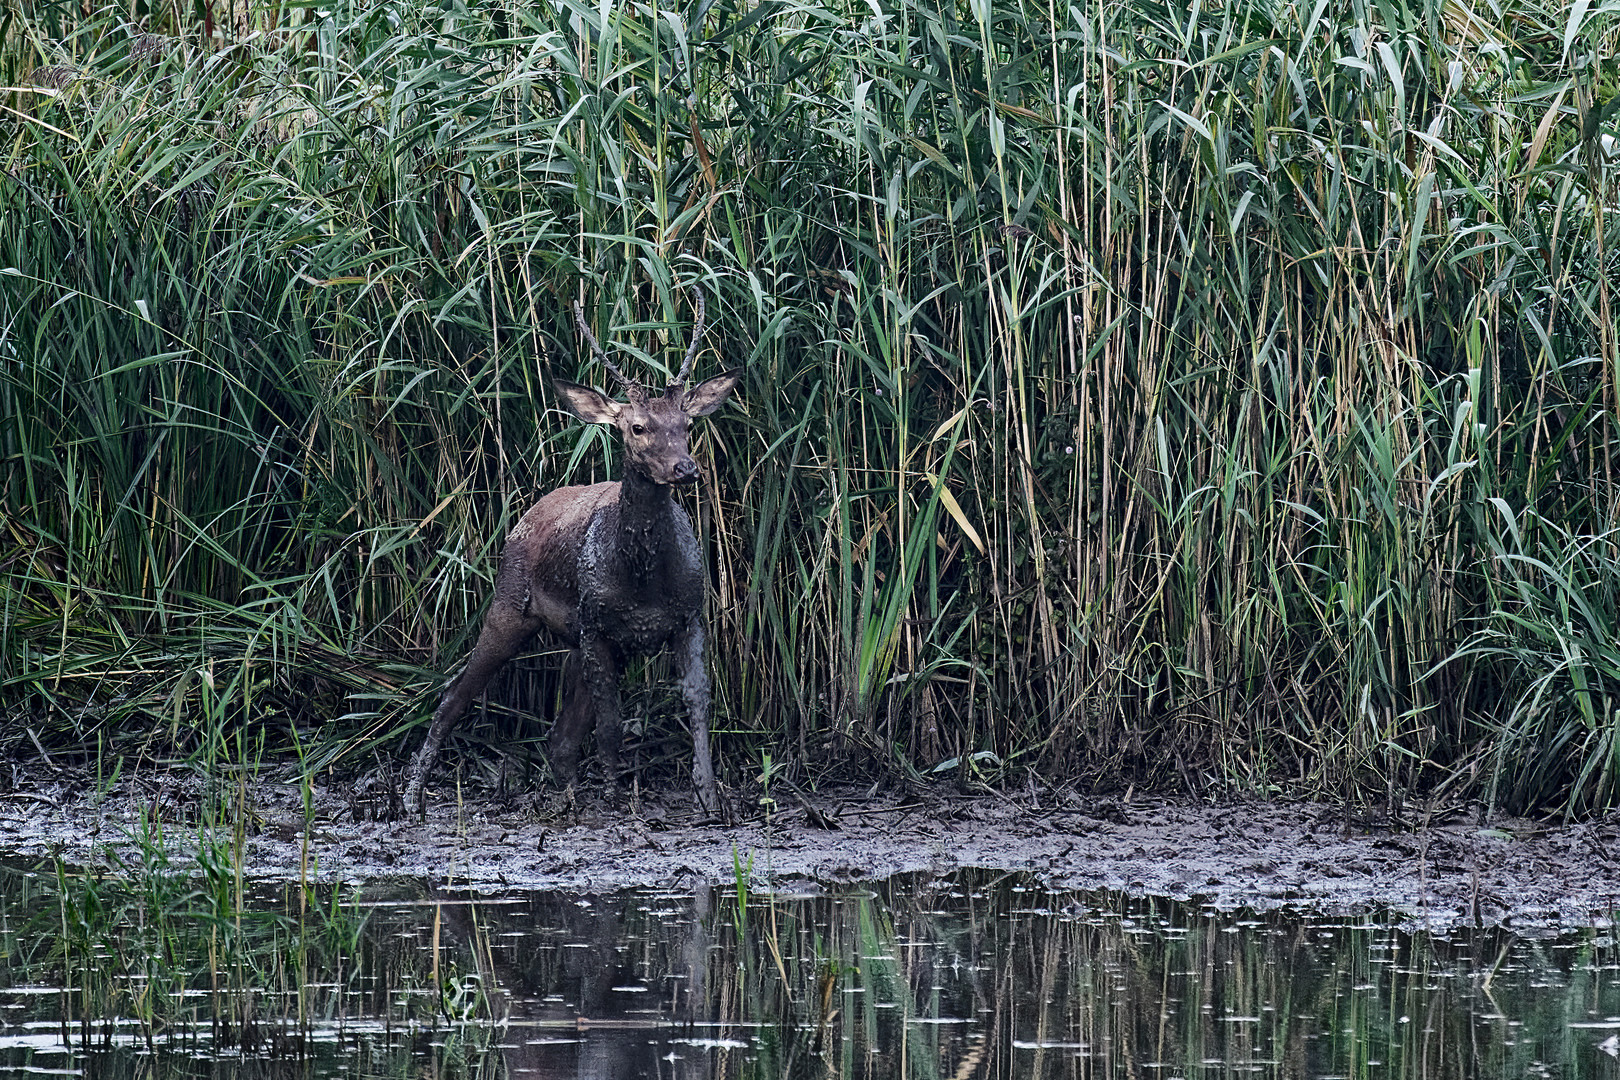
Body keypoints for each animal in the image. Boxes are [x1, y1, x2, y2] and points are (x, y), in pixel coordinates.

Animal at [400, 291, 741, 816]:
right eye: (637, 427)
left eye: (686, 423)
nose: (686, 469)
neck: (643, 582)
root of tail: (527, 513)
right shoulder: (598, 622)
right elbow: (611, 722)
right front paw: (617, 798)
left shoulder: (689, 614)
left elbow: (698, 703)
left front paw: (711, 799)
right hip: (510, 605)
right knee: (455, 693)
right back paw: (412, 797)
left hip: (573, 635)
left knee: (560, 735)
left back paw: (565, 796)